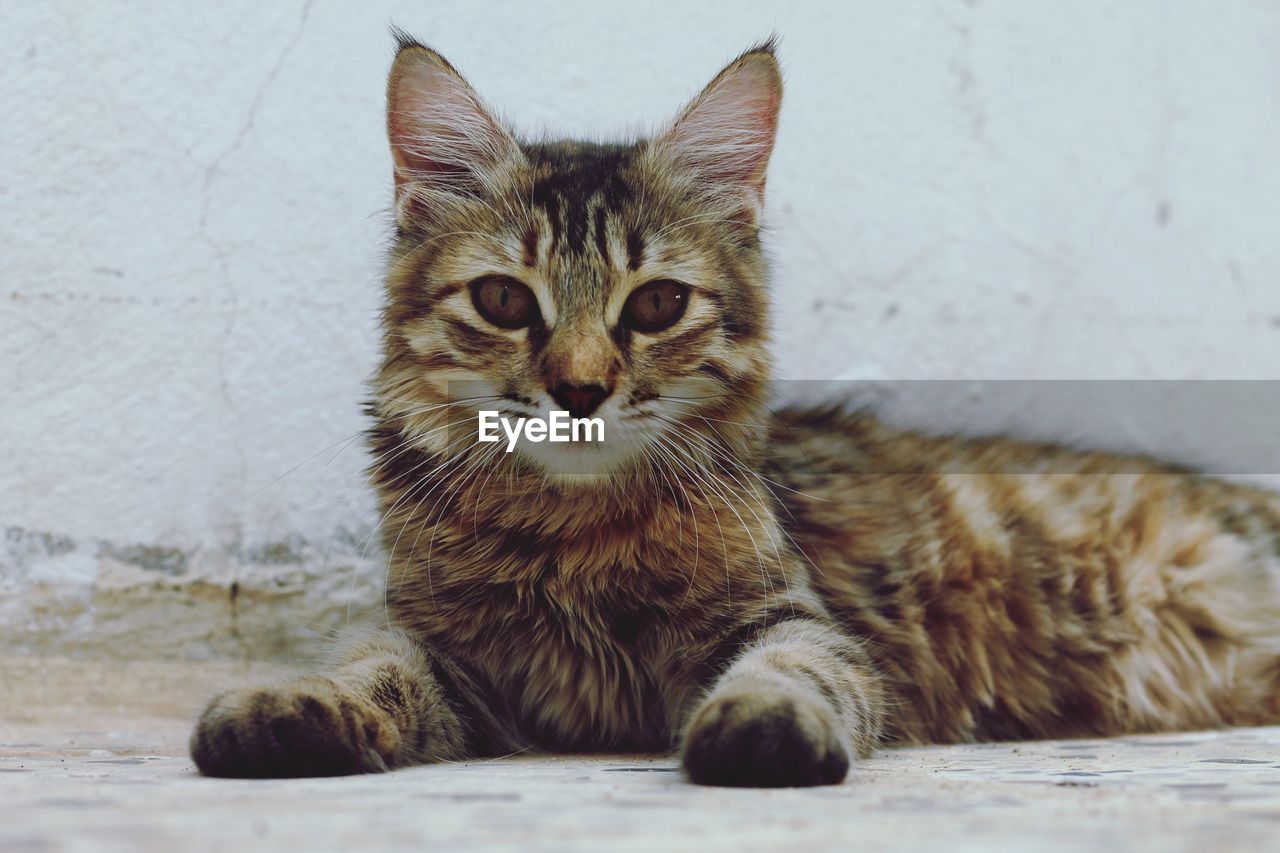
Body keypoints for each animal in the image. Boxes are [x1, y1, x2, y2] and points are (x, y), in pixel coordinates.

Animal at [186, 33, 1280, 778]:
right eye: (503, 300)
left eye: (655, 305)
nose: (578, 389)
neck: (572, 536)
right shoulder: (450, 652)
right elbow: (367, 668)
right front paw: (286, 708)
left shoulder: (788, 618)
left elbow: (792, 671)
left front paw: (761, 731)